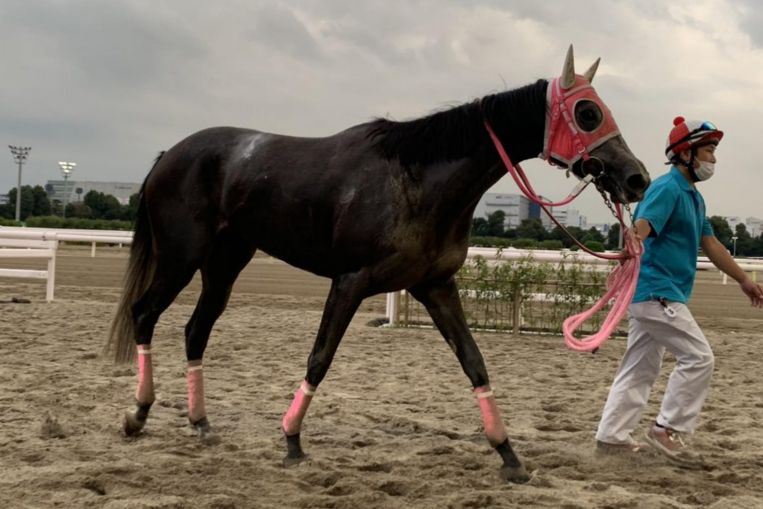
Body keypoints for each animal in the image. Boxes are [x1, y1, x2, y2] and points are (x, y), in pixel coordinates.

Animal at [106, 46, 650, 483]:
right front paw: (292, 439)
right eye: (587, 113)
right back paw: (138, 413)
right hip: (180, 258)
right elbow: (320, 358)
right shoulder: (349, 282)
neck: (416, 180)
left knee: (196, 330)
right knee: (145, 313)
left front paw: (508, 454)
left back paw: (200, 423)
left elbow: (474, 363)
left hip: (224, 264)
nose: (637, 178)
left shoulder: (436, 286)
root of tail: (170, 154)